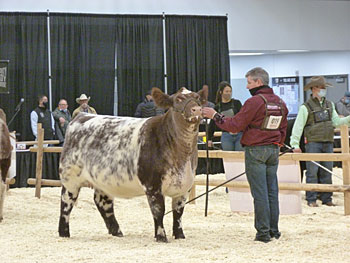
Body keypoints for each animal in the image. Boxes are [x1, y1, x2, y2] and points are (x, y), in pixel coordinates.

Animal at [57, 87, 205, 242]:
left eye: (197, 98)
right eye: (178, 99)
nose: (197, 109)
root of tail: (81, 116)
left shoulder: (185, 186)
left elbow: (178, 213)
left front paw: (180, 235)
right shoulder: (153, 185)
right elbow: (159, 211)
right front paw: (161, 237)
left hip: (102, 180)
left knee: (103, 203)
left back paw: (117, 232)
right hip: (70, 178)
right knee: (66, 202)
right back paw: (64, 233)